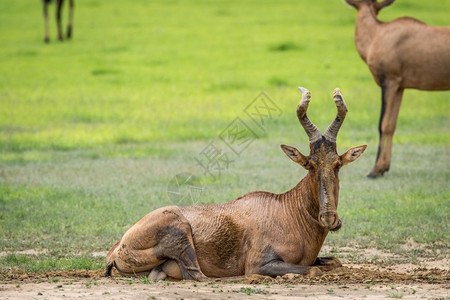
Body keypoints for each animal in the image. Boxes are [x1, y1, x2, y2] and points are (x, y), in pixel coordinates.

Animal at [105, 88, 366, 280]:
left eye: (337, 164)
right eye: (309, 164)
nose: (329, 218)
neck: (286, 210)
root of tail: (116, 249)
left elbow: (335, 262)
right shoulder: (261, 263)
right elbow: (314, 270)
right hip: (180, 233)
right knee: (198, 276)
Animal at [344, 0, 450, 178]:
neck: (378, 34)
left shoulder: (389, 81)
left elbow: (384, 124)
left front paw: (375, 170)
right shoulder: (400, 86)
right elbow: (392, 124)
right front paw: (384, 167)